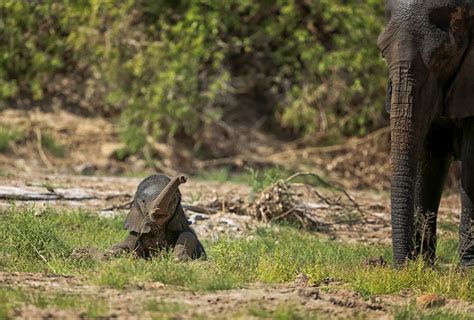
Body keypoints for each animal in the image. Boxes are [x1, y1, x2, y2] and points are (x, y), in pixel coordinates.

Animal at [378, 0, 474, 268]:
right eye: (382, 53)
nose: (401, 267)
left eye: (443, 56)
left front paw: (465, 272)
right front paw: (423, 267)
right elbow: (430, 157)